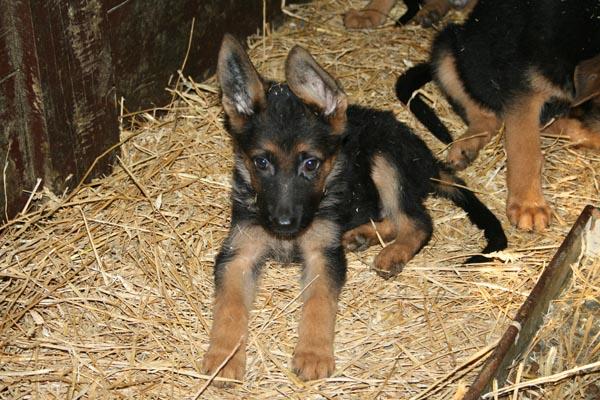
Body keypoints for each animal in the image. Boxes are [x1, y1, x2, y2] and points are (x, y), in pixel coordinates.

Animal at [203, 34, 506, 384]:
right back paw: (362, 236)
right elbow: (229, 307)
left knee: (418, 221)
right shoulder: (238, 253)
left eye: (311, 164)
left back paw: (393, 252)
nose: (283, 224)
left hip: (386, 160)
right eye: (261, 163)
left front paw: (313, 353)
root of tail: (429, 159)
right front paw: (224, 357)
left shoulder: (323, 253)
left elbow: (319, 302)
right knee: (391, 218)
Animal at [396, 0, 600, 231]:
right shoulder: (523, 89)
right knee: (485, 117)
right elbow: (524, 149)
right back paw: (465, 146)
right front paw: (528, 205)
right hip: (449, 49)